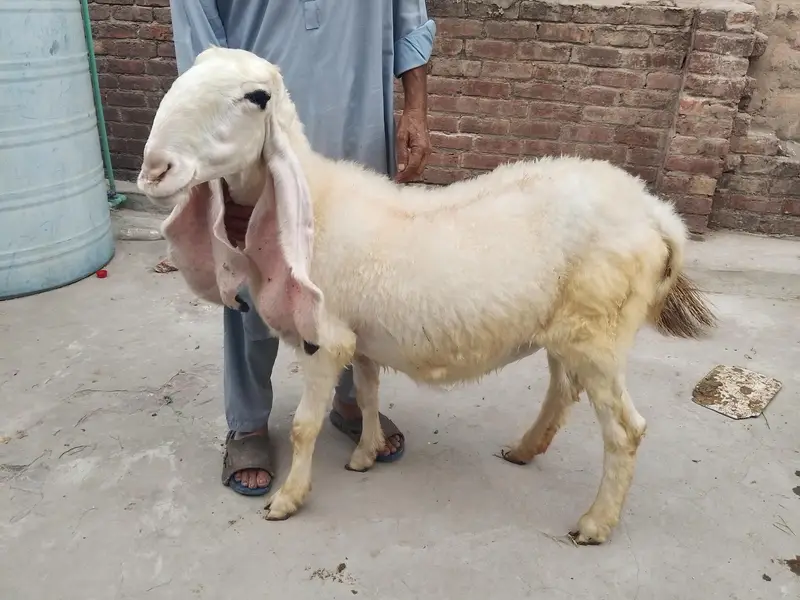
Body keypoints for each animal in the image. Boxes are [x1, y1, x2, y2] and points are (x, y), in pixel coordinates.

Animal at [137, 46, 716, 545]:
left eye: (256, 97)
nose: (153, 170)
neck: (314, 202)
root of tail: (657, 214)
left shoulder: (327, 339)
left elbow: (304, 427)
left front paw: (288, 498)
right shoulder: (360, 338)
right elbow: (368, 392)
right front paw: (367, 453)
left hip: (599, 332)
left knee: (626, 431)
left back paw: (596, 523)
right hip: (570, 327)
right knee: (562, 391)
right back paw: (525, 450)